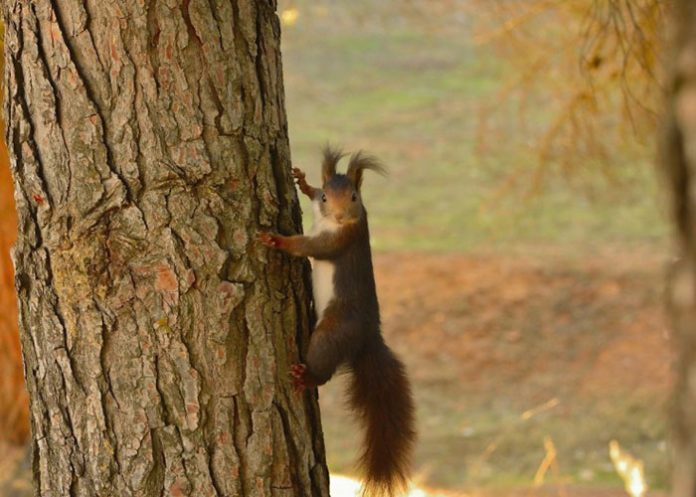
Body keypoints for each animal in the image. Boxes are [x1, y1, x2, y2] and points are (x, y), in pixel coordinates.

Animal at [258, 146, 416, 497]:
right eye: (327, 197)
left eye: (354, 196)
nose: (342, 215)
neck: (330, 222)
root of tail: (369, 336)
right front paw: (303, 182)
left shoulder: (341, 239)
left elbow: (310, 246)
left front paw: (278, 241)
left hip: (332, 331)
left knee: (324, 365)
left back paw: (307, 376)